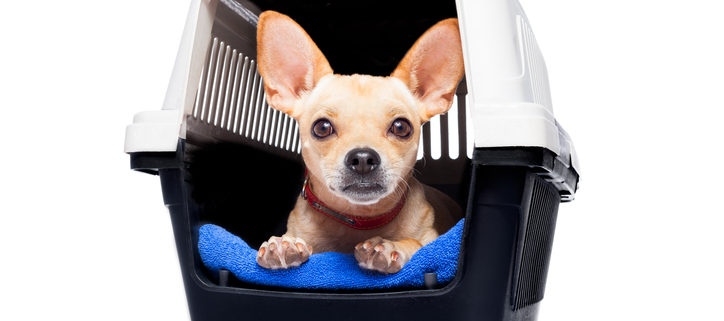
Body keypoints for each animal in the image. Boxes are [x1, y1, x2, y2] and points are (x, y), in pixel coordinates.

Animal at [256, 11, 464, 274]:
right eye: (322, 128)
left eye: (401, 127)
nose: (363, 158)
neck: (358, 219)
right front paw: (285, 244)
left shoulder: (431, 240)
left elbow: (415, 243)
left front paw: (387, 246)